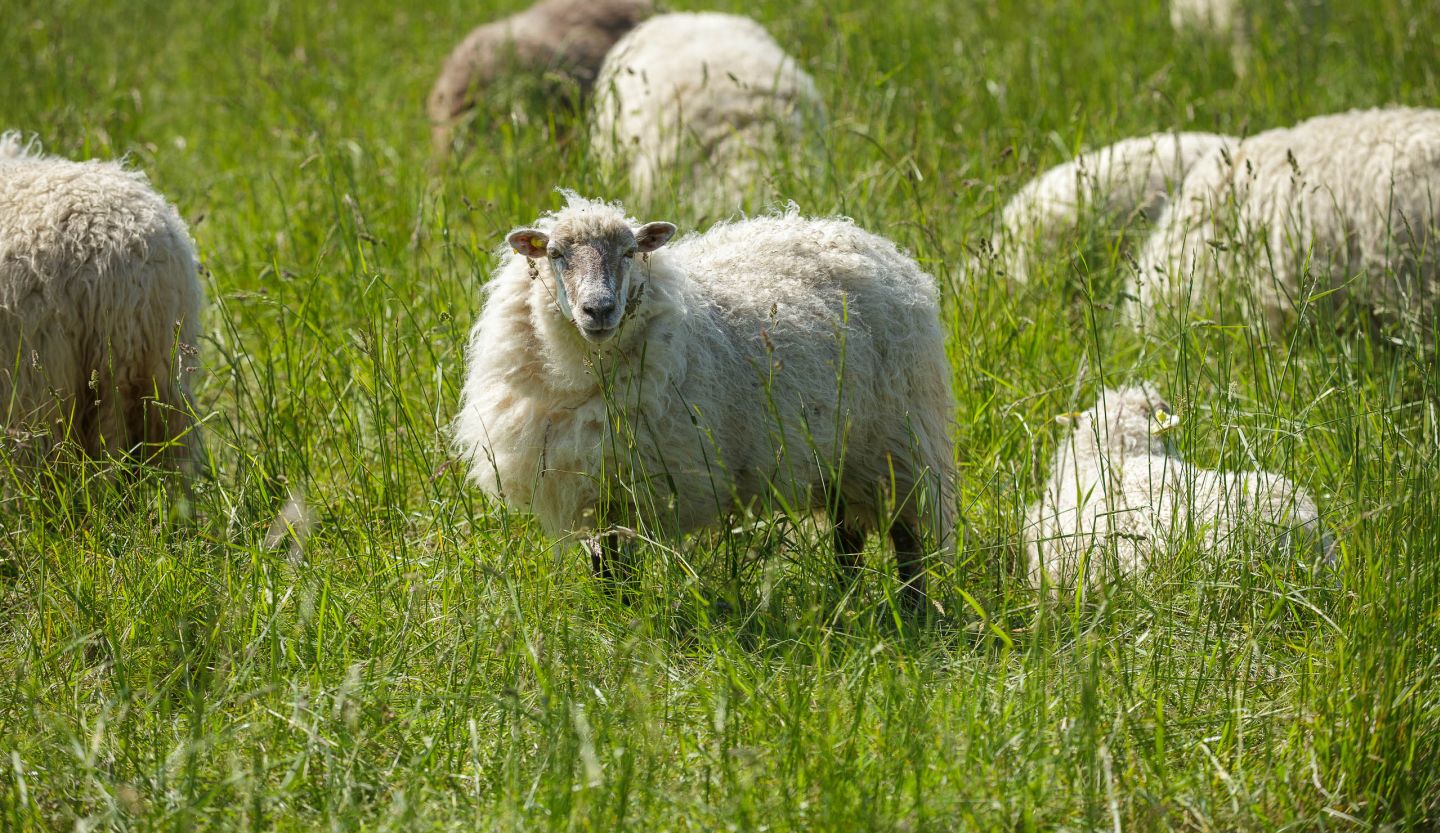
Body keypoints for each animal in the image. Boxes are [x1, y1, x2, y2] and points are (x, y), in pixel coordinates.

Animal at [454, 192, 954, 609]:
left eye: (630, 252)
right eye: (556, 254)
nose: (599, 310)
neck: (582, 371)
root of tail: (867, 240)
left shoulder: (634, 482)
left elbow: (619, 565)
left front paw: (624, 621)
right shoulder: (593, 483)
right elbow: (604, 565)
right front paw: (609, 614)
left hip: (897, 442)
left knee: (907, 537)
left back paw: (912, 609)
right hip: (841, 454)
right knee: (846, 535)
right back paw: (844, 596)